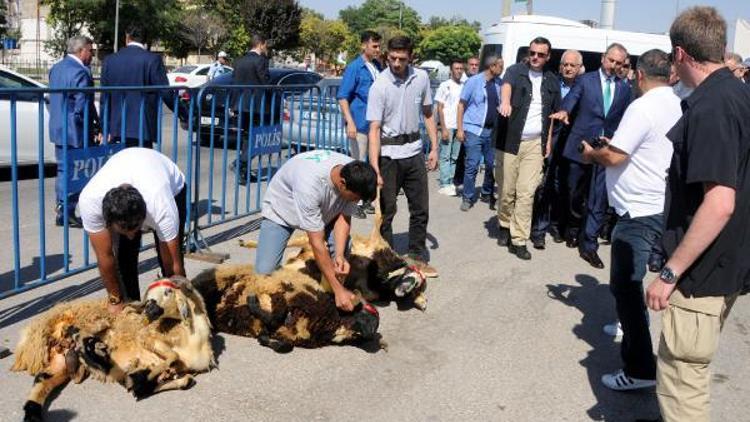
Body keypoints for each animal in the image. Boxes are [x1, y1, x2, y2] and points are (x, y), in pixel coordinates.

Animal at [11, 276, 214, 422]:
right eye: (149, 294)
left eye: (168, 291)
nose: (149, 308)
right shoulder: (148, 342)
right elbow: (168, 361)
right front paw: (142, 381)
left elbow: (180, 380)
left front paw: (145, 383)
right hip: (84, 328)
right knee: (82, 336)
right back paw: (90, 347)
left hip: (59, 361)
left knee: (42, 381)